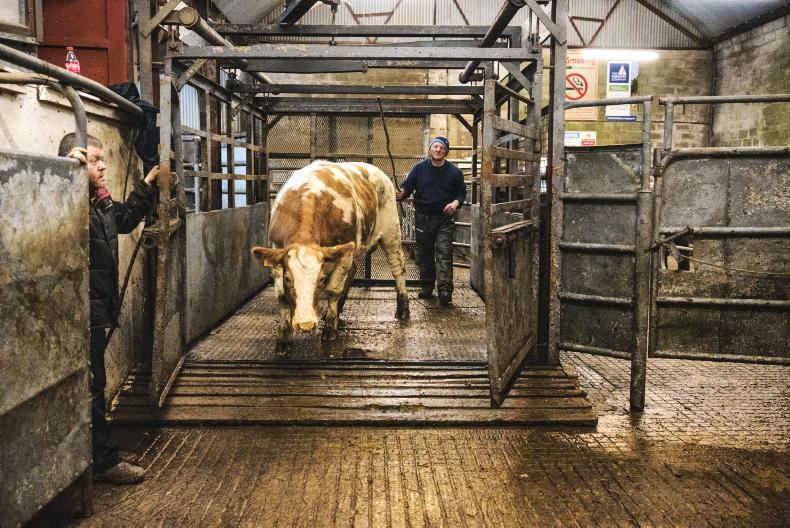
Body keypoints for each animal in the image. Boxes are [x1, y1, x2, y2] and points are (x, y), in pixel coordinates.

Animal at [252, 160, 410, 349]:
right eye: (288, 279)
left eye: (321, 279)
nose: (306, 324)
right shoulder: (277, 255)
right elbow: (282, 297)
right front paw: (283, 339)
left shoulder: (344, 254)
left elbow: (333, 290)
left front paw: (329, 329)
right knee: (353, 271)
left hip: (391, 232)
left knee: (397, 267)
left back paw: (403, 308)